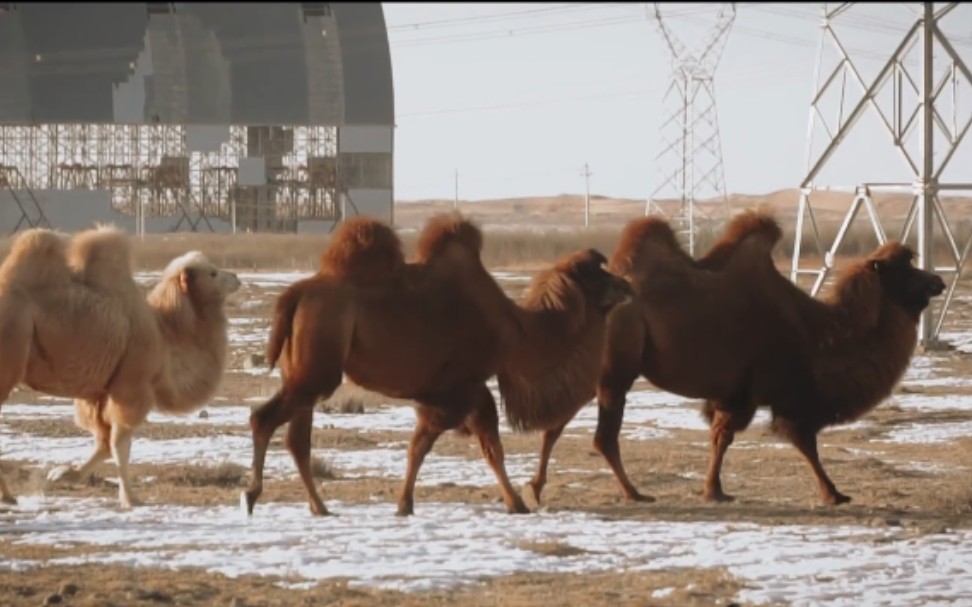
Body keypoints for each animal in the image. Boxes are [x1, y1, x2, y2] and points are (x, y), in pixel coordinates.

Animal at [0, 223, 241, 508]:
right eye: (212, 273)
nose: (236, 277)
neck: (164, 335)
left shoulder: (100, 393)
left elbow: (103, 444)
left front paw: (62, 474)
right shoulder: (131, 385)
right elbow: (120, 444)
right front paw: (130, 498)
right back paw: (7, 495)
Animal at [243, 213, 636, 516]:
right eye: (597, 274)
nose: (627, 285)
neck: (516, 331)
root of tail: (294, 296)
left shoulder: (460, 391)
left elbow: (445, 446)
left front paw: (407, 504)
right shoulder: (463, 387)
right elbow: (465, 446)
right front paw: (515, 503)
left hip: (302, 372)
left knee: (297, 439)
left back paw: (319, 507)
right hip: (317, 370)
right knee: (264, 419)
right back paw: (252, 494)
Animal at [596, 211, 944, 506]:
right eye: (904, 268)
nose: (937, 281)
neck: (816, 332)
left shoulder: (732, 393)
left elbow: (719, 438)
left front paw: (715, 490)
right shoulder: (777, 394)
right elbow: (801, 443)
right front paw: (833, 494)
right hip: (618, 365)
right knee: (606, 436)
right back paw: (634, 493)